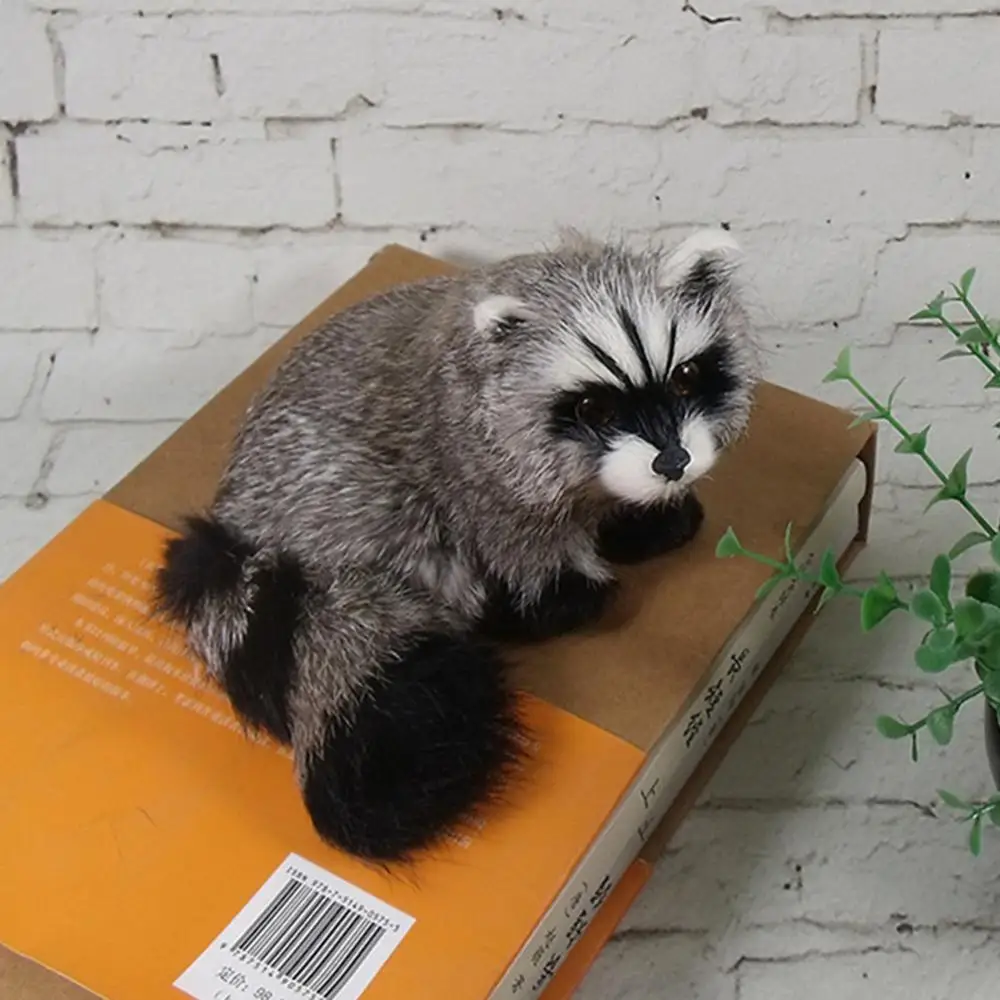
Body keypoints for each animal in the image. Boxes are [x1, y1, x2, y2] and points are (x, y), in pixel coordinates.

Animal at [153, 229, 759, 862]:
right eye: (594, 407)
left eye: (686, 376)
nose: (674, 461)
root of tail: (240, 531)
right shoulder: (473, 462)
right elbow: (517, 535)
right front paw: (559, 589)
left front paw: (637, 517)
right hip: (336, 500)